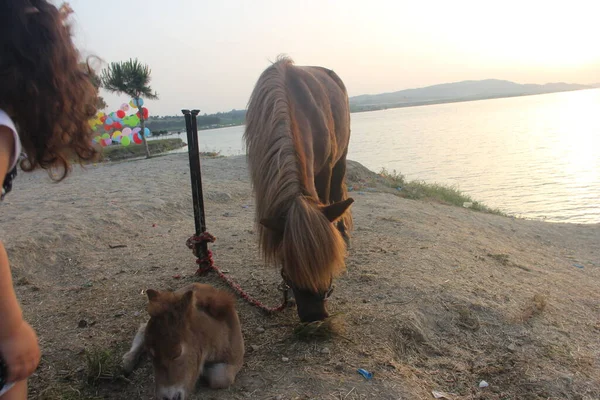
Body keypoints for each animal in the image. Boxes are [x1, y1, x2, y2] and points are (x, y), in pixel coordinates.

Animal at [244, 56, 354, 322]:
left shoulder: (325, 169)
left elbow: (326, 200)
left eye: (328, 261)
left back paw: (343, 230)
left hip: (341, 157)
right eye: (287, 262)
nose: (314, 314)